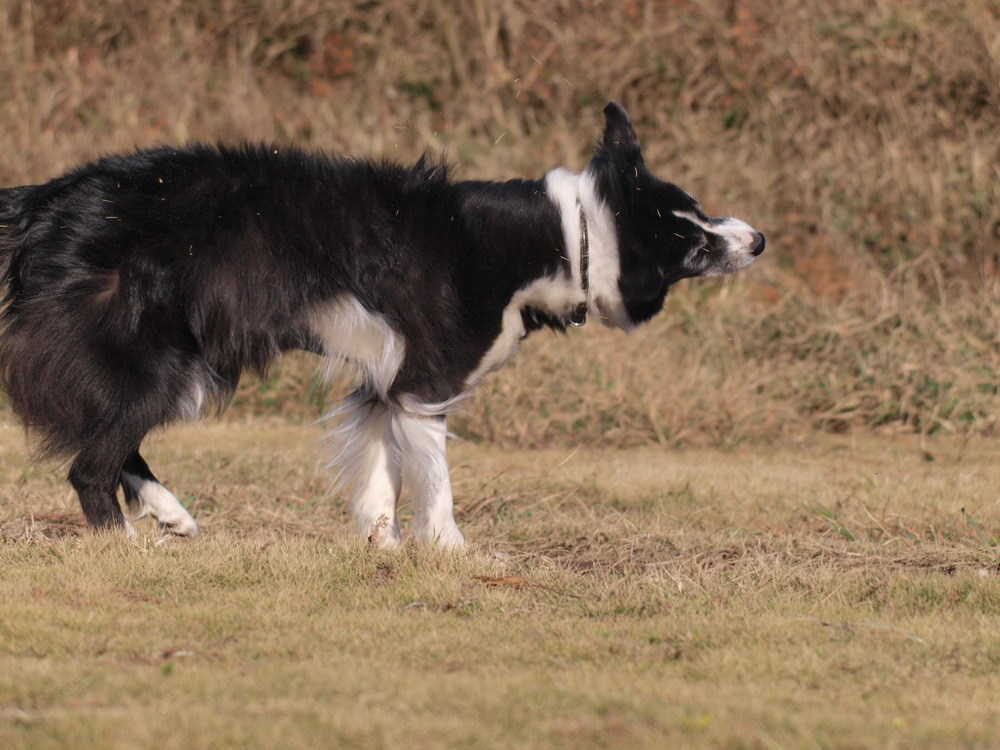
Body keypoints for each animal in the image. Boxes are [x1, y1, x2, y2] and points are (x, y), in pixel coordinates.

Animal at [0, 103, 764, 548]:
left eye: (699, 209)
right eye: (689, 239)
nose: (757, 240)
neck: (566, 239)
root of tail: (52, 197)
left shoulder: (382, 384)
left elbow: (377, 477)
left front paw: (382, 549)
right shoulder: (426, 382)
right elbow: (435, 483)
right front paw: (452, 555)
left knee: (107, 442)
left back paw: (170, 513)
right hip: (166, 361)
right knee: (90, 463)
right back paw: (124, 544)